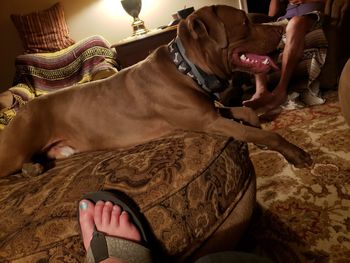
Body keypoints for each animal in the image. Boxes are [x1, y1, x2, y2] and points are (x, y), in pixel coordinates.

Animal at [0, 5, 312, 177]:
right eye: (245, 22)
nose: (281, 27)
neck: (186, 68)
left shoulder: (211, 110)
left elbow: (249, 113)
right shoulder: (208, 121)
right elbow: (263, 133)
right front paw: (294, 153)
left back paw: (32, 168)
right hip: (16, 148)